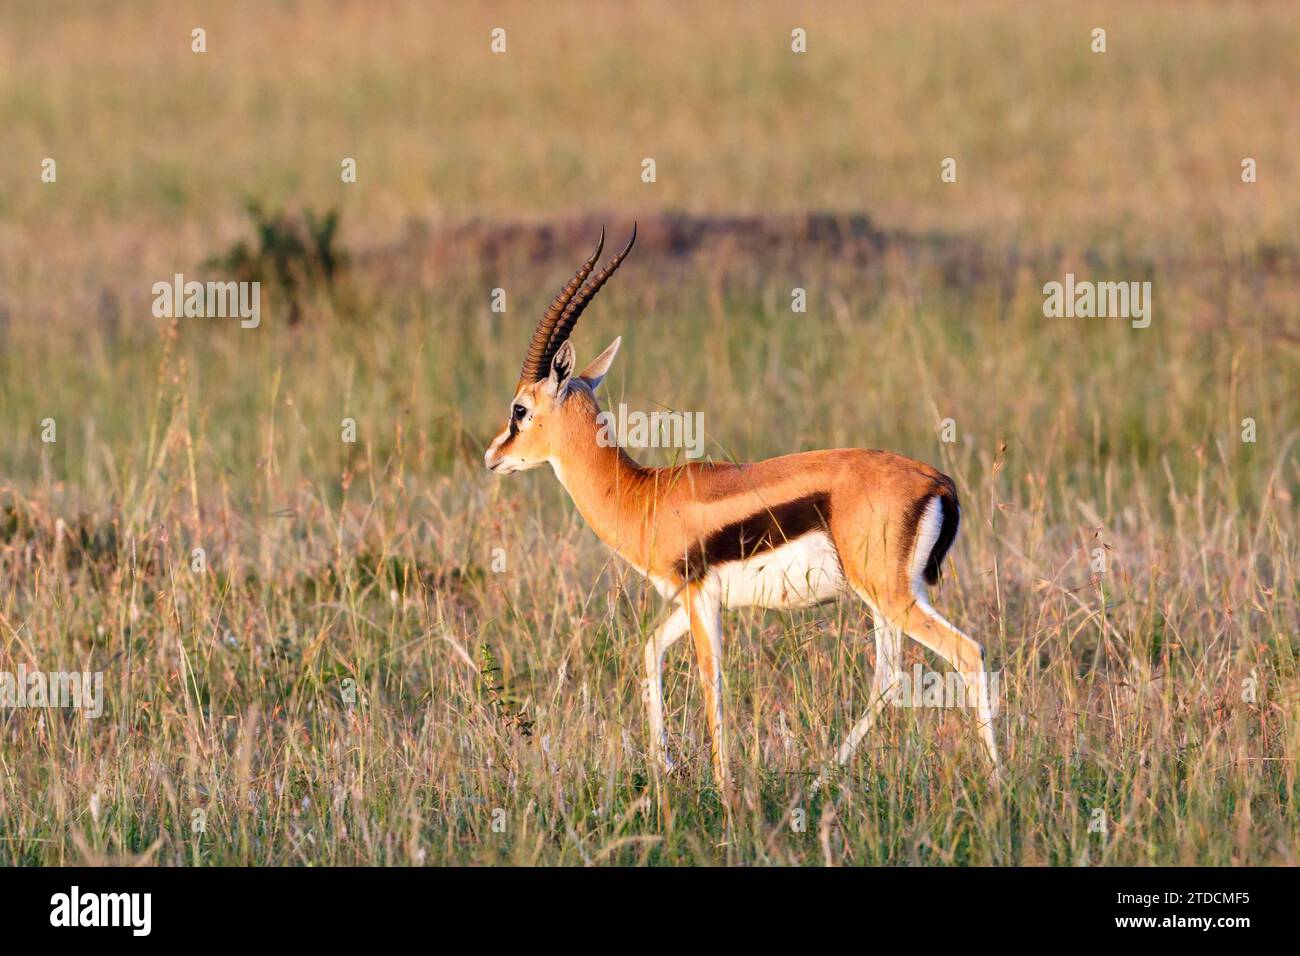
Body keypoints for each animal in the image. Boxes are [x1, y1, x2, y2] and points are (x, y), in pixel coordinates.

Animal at [484, 225, 1001, 793]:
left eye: (519, 409)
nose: (493, 456)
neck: (644, 494)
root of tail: (940, 483)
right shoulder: (686, 601)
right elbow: (649, 650)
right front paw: (666, 767)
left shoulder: (701, 600)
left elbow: (711, 679)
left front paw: (721, 785)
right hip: (886, 600)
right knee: (888, 681)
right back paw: (818, 784)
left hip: (891, 596)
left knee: (967, 653)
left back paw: (998, 784)